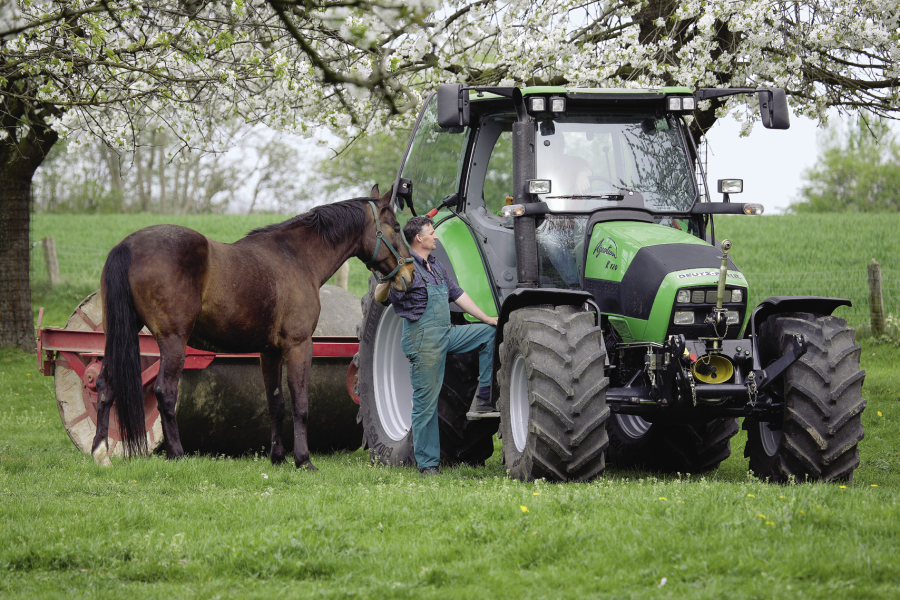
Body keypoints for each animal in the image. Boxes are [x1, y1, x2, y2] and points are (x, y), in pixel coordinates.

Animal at [91, 185, 414, 472]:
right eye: (396, 227)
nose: (410, 273)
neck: (296, 257)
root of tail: (127, 246)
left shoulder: (269, 352)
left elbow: (276, 403)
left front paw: (278, 457)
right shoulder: (299, 344)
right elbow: (300, 404)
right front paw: (303, 460)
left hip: (117, 338)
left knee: (106, 387)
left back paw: (100, 452)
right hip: (173, 342)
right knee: (165, 393)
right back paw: (177, 454)